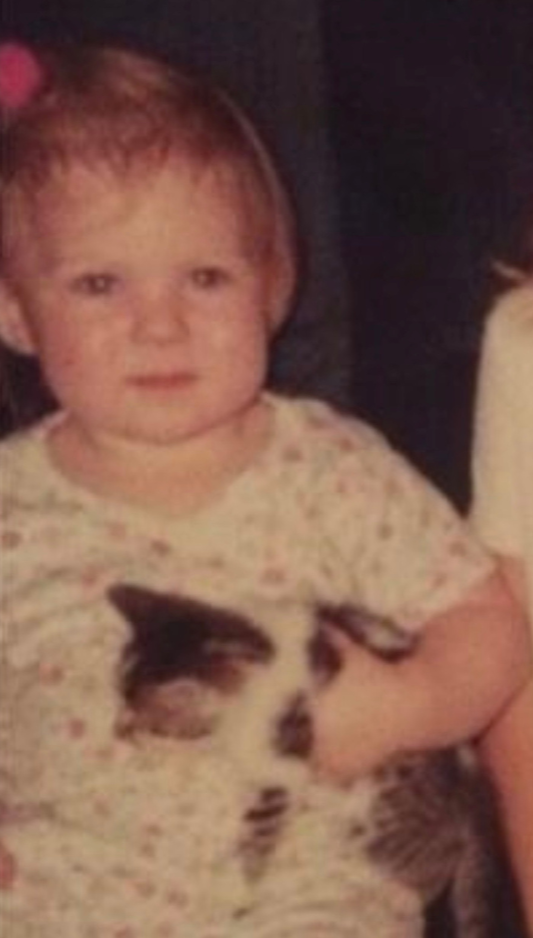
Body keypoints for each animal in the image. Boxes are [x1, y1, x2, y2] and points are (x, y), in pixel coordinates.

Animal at [108, 584, 511, 938]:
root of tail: (470, 768)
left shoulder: (283, 765)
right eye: (119, 703)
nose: (117, 732)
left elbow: (257, 830)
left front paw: (234, 888)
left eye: (143, 725)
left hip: (380, 815)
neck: (256, 649)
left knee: (439, 855)